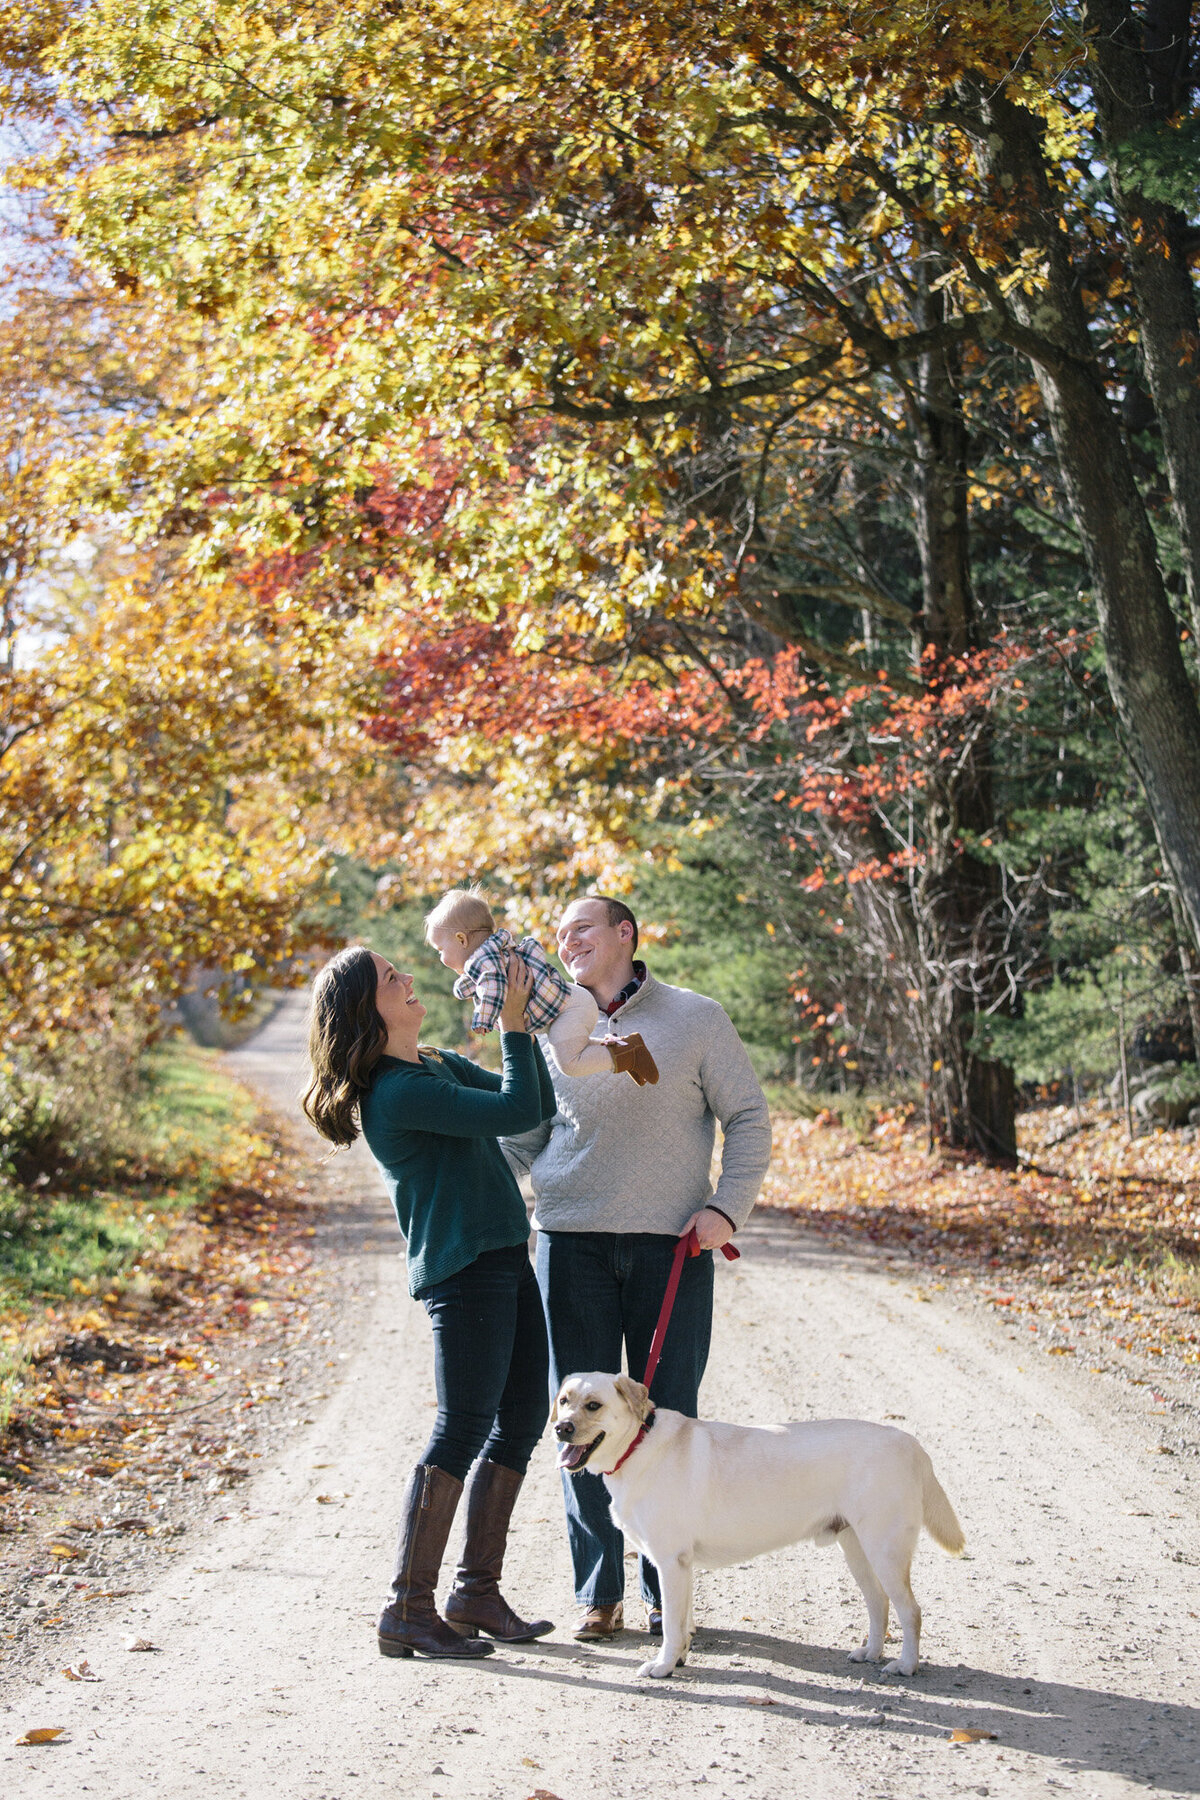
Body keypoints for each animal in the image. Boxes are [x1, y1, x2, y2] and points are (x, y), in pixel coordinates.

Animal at [557, 1368, 964, 1677]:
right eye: (563, 1401)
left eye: (593, 1405)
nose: (561, 1428)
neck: (636, 1445)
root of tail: (911, 1443)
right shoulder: (682, 1567)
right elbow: (683, 1621)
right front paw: (680, 1657)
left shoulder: (671, 1562)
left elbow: (671, 1624)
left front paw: (663, 1666)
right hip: (858, 1550)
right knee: (879, 1603)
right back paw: (871, 1653)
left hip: (885, 1551)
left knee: (910, 1611)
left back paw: (905, 1666)